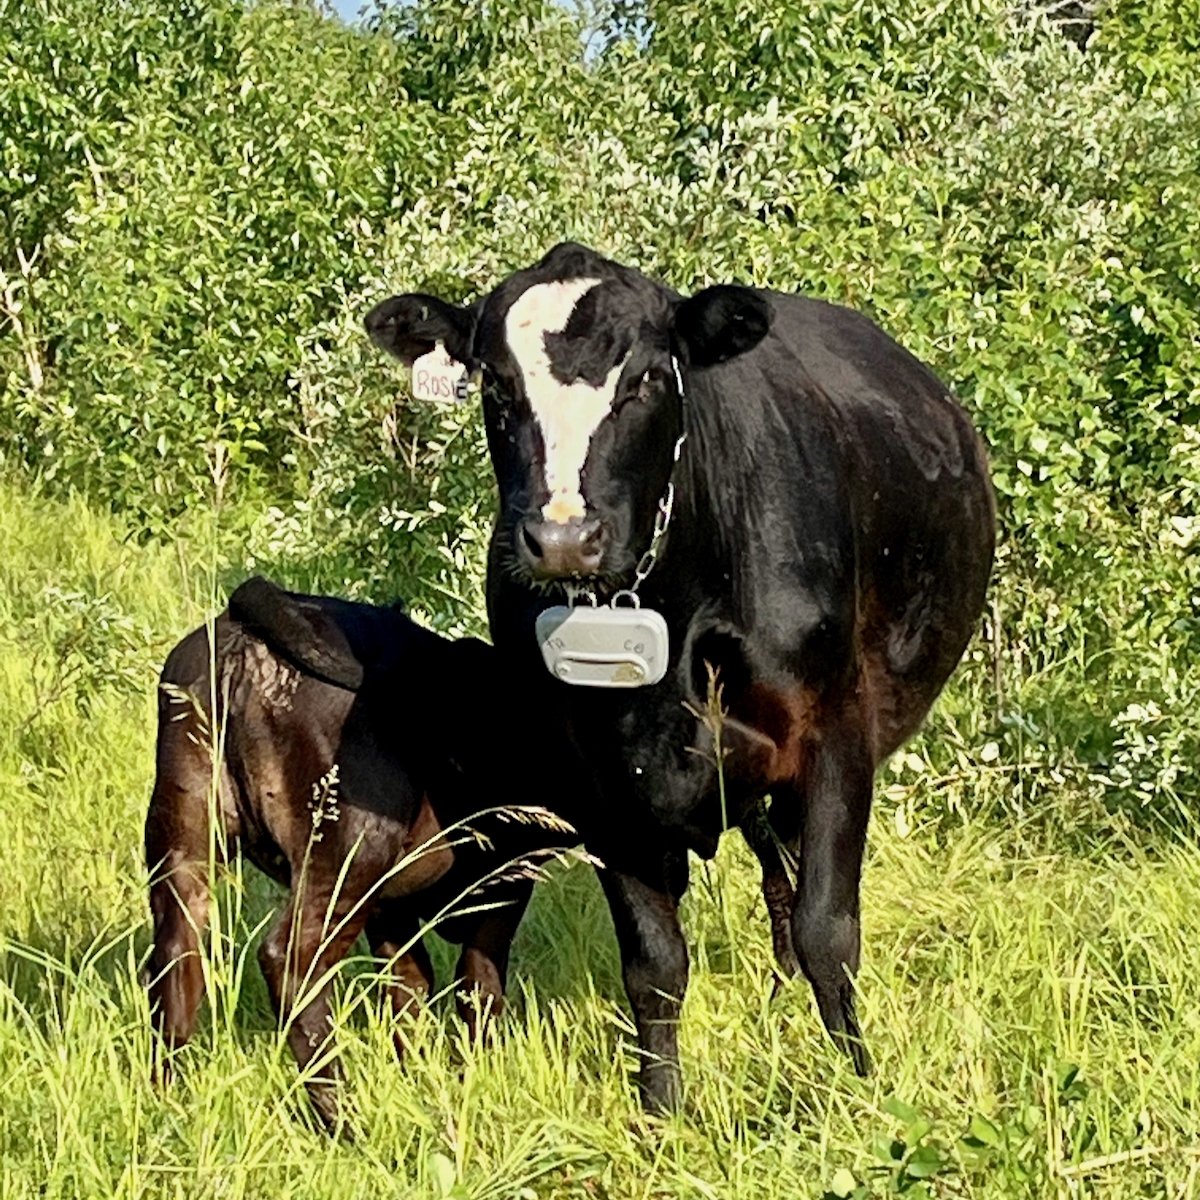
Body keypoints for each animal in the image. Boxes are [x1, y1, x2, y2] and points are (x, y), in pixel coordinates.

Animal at [144, 576, 576, 1131]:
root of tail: (247, 637)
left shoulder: (392, 907)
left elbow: (408, 986)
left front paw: (419, 1077)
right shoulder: (505, 883)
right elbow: (476, 985)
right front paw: (472, 1077)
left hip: (186, 847)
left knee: (176, 964)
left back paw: (168, 1103)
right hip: (349, 855)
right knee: (292, 964)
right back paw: (342, 1117)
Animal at [364, 242, 996, 1113]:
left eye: (646, 379)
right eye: (495, 385)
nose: (564, 537)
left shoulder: (836, 734)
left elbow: (828, 928)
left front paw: (859, 1087)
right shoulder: (597, 779)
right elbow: (655, 963)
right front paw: (660, 1109)